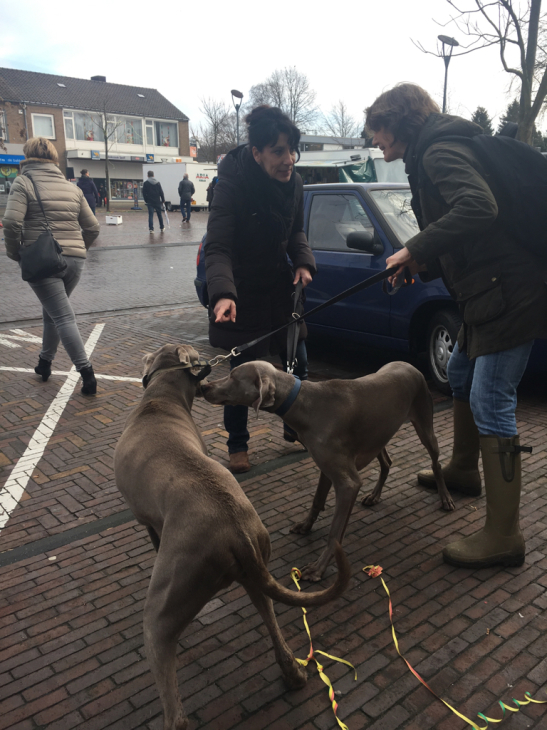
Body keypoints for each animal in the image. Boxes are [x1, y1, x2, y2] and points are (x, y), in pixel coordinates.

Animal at [201, 358, 454, 580]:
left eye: (233, 376)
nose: (204, 386)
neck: (303, 403)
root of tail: (410, 365)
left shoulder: (348, 483)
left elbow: (335, 534)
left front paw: (318, 569)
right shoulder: (326, 466)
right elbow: (316, 500)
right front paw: (306, 526)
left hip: (424, 423)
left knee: (435, 462)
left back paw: (445, 498)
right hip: (378, 435)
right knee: (387, 462)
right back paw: (374, 496)